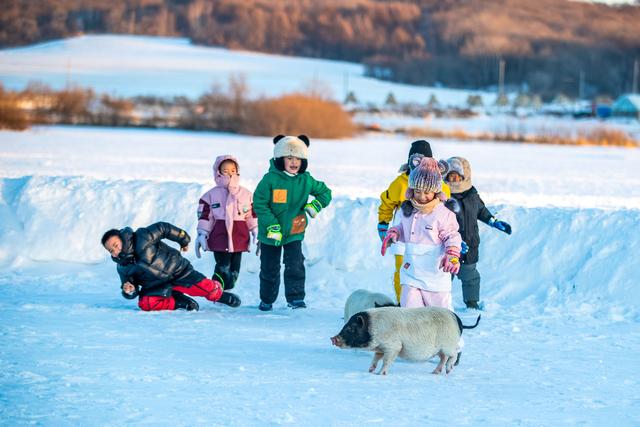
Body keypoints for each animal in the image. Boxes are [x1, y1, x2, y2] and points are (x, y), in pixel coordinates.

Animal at [332, 308, 478, 374]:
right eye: (345, 325)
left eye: (350, 328)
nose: (333, 338)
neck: (373, 328)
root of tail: (457, 319)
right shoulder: (381, 348)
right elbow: (376, 358)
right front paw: (370, 371)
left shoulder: (393, 346)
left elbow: (386, 360)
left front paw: (380, 374)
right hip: (440, 349)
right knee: (443, 358)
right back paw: (435, 372)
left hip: (448, 345)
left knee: (453, 355)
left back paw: (448, 370)